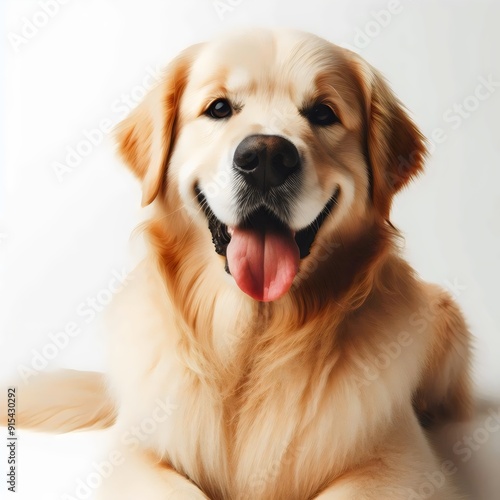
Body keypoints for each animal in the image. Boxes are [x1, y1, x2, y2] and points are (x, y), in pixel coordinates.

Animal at [6, 28, 472, 500]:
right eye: (219, 108)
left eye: (323, 112)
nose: (266, 157)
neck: (251, 342)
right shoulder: (134, 453)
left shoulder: (401, 462)